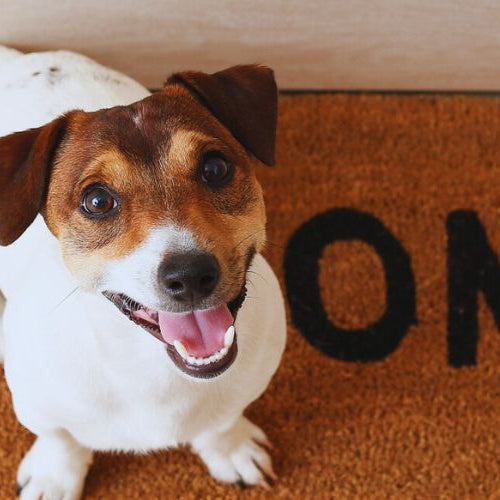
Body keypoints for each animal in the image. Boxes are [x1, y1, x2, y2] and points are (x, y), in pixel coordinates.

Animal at [0, 46, 286, 496]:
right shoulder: (35, 404)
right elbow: (60, 439)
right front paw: (53, 476)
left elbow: (221, 422)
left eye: (215, 168)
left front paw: (230, 449)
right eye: (97, 200)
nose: (190, 274)